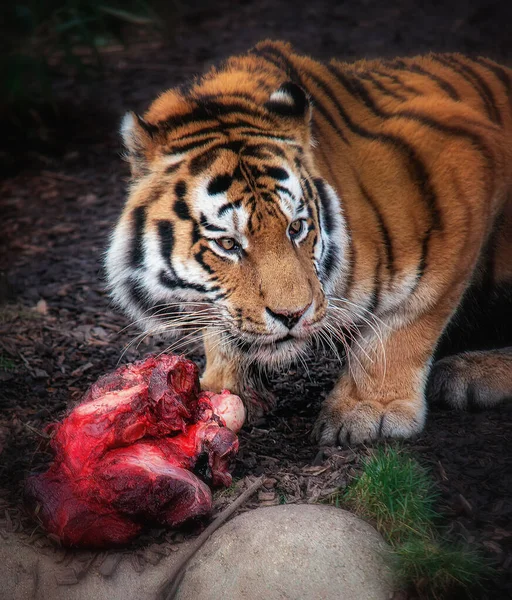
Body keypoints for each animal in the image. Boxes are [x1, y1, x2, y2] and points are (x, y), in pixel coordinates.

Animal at [105, 38, 512, 446]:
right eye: (229, 245)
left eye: (296, 227)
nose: (291, 315)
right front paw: (225, 384)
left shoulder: (465, 167)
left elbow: (406, 321)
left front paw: (368, 408)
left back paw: (468, 373)